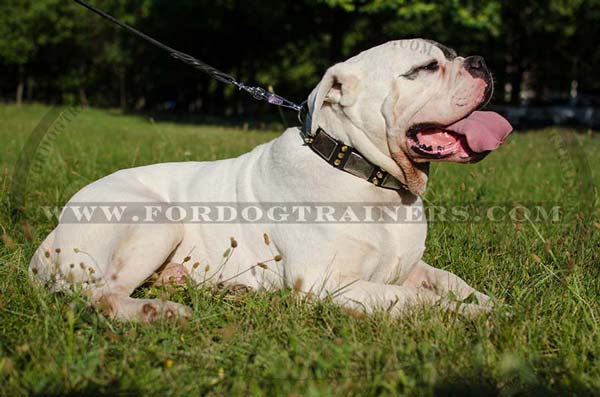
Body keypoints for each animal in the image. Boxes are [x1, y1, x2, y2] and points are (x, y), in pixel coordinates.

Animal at [29, 38, 510, 320]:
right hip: (156, 217)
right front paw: (460, 313)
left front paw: (489, 303)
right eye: (426, 68)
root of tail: (48, 242)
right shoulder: (323, 284)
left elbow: (449, 280)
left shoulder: (408, 267)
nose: (481, 61)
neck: (365, 173)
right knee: (104, 295)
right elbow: (416, 299)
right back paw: (157, 311)